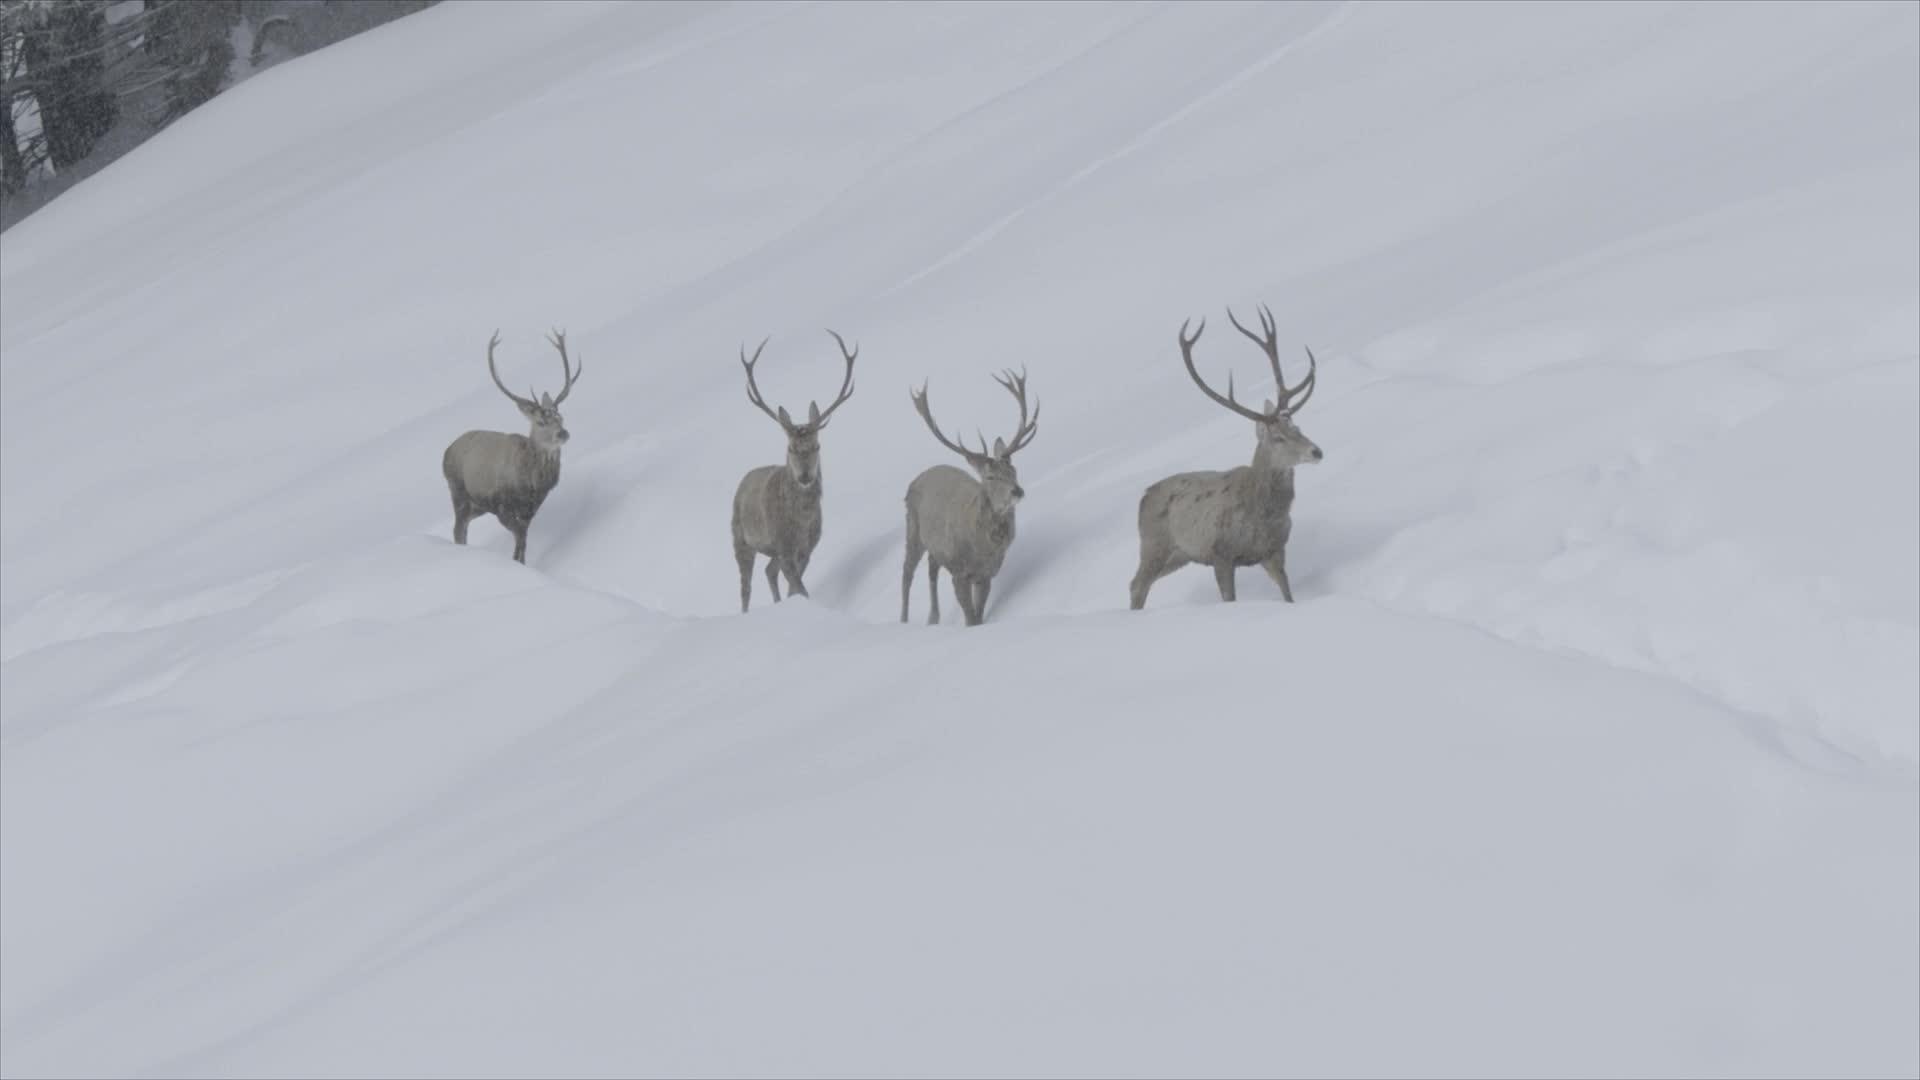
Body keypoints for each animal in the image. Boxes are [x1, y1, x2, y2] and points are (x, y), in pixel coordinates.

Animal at [439, 328, 576, 564]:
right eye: (541, 422)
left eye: (561, 417)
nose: (563, 433)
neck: (532, 484)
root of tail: (445, 452)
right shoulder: (501, 506)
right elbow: (519, 539)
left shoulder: (530, 510)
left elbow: (523, 542)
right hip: (458, 490)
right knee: (458, 530)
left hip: (477, 505)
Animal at [729, 328, 860, 611]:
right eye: (790, 447)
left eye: (817, 445)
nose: (805, 475)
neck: (801, 521)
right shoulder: (783, 544)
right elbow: (799, 588)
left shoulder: (807, 547)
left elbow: (796, 587)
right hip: (740, 538)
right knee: (745, 587)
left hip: (772, 551)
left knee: (769, 571)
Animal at [902, 367, 1044, 626]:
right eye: (990, 477)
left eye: (1013, 470)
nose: (1017, 491)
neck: (981, 549)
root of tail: (918, 477)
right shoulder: (960, 571)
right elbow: (970, 617)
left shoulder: (987, 573)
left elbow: (979, 614)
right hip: (912, 527)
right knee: (907, 573)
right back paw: (903, 620)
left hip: (935, 546)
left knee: (931, 568)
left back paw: (933, 618)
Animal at [1128, 305, 1328, 607]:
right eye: (1278, 438)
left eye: (1297, 427)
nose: (1316, 451)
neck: (1264, 516)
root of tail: (1144, 496)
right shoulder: (1220, 553)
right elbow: (1228, 598)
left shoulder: (1275, 551)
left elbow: (1287, 595)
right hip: (1155, 543)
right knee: (1137, 584)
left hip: (1180, 555)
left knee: (1139, 583)